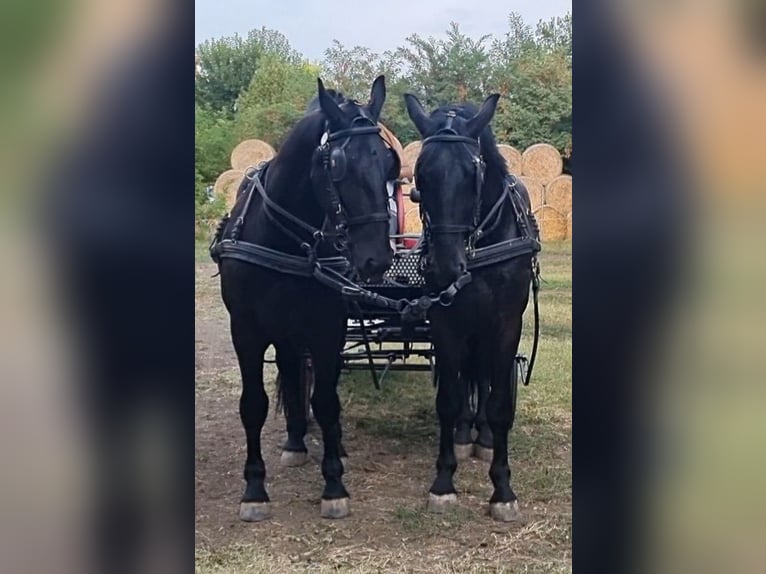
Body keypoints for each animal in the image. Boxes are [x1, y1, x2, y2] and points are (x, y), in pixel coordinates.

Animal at [408, 92, 540, 524]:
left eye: (472, 172)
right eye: (421, 174)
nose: (446, 267)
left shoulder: (505, 324)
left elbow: (499, 405)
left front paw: (502, 489)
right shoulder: (446, 321)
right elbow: (449, 400)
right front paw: (443, 482)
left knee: (484, 377)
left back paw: (482, 436)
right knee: (470, 373)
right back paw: (468, 433)